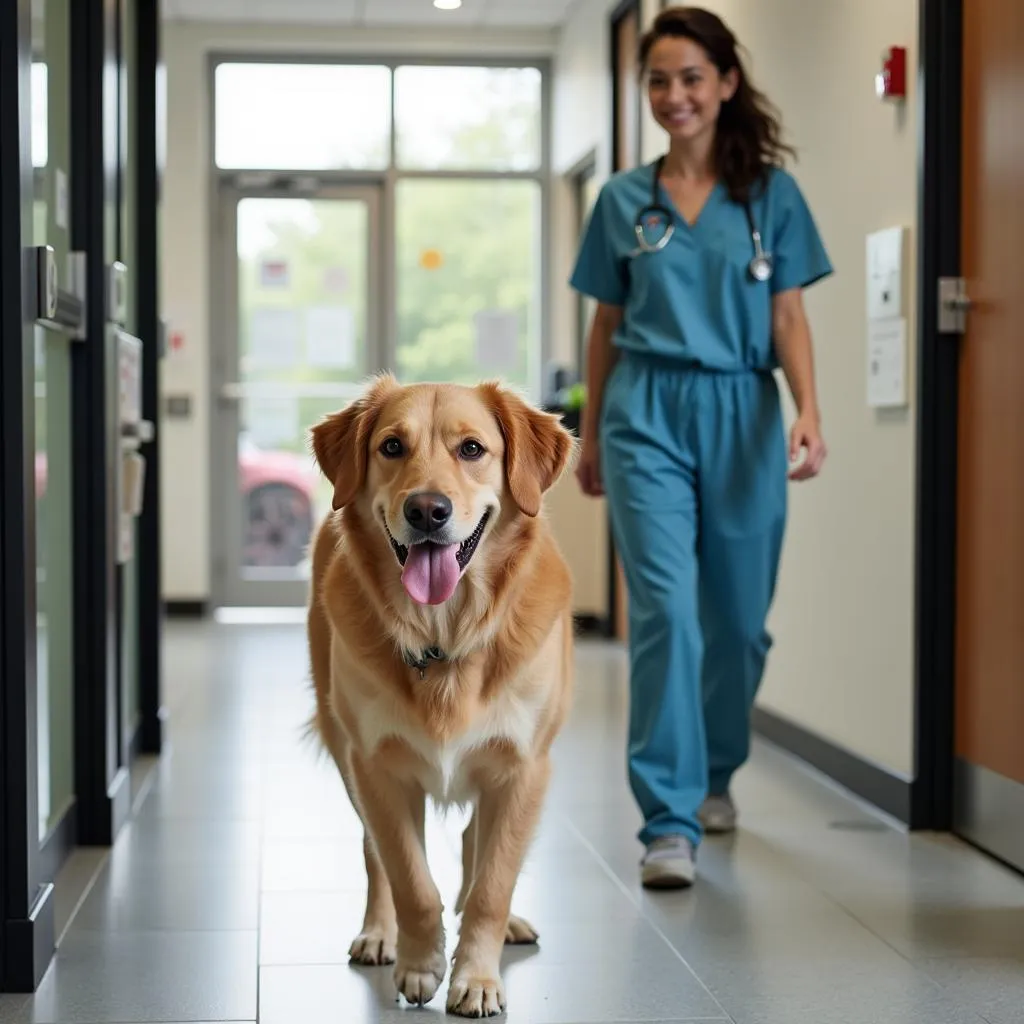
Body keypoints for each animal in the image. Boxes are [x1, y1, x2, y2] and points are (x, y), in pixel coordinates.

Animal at [303, 374, 577, 1015]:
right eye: (391, 446)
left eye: (472, 449)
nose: (427, 510)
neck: (445, 636)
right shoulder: (376, 765)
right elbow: (410, 877)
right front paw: (420, 962)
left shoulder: (524, 767)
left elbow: (492, 883)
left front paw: (476, 977)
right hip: (344, 748)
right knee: (374, 852)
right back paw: (380, 933)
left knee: (480, 847)